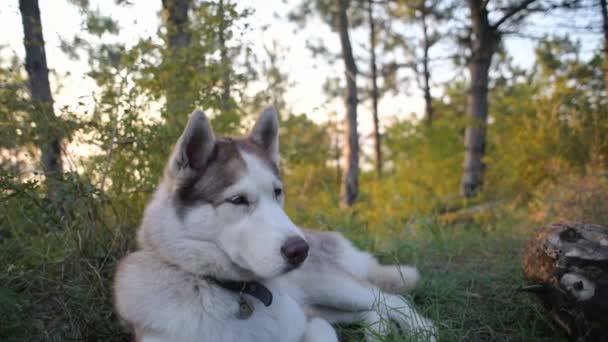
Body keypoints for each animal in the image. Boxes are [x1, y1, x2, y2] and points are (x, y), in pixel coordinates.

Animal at [115, 107, 436, 342]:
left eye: (277, 192)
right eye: (238, 200)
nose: (300, 250)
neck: (233, 291)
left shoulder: (311, 322)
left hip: (332, 286)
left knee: (392, 300)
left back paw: (421, 331)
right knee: (374, 311)